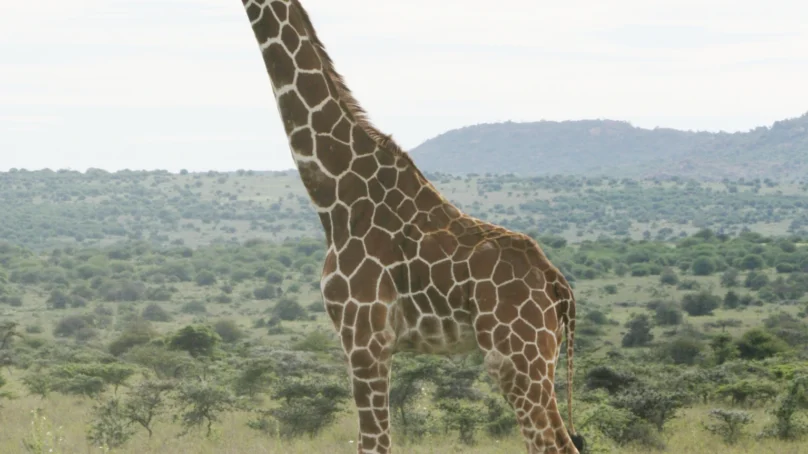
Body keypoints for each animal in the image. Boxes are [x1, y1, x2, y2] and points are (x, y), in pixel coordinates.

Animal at [238, 1, 584, 453]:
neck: (337, 195)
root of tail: (558, 286)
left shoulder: (364, 338)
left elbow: (375, 443)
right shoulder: (369, 342)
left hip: (515, 358)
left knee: (551, 442)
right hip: (540, 358)